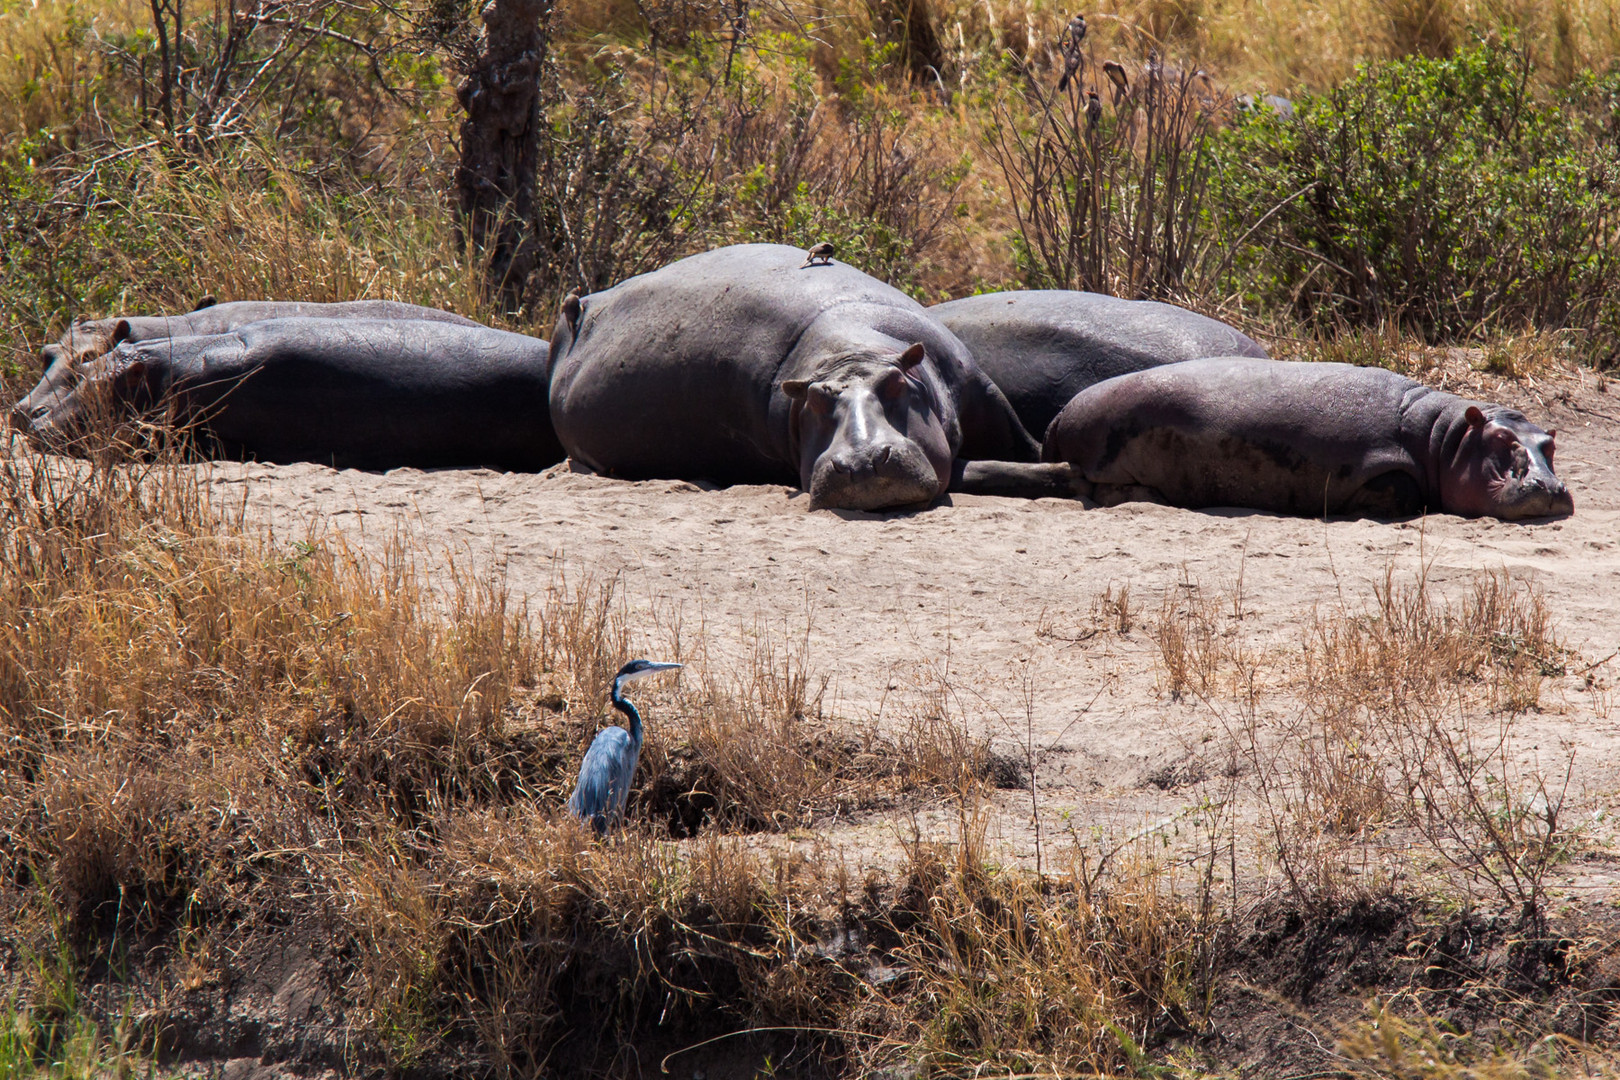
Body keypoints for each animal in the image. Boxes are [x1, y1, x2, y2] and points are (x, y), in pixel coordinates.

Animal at [550, 244, 1043, 511]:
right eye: (816, 400)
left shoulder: (981, 390)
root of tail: (580, 307)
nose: (861, 462)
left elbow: (1022, 441)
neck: (849, 354)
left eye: (896, 383)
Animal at [1036, 359, 1568, 518]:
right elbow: (1402, 488)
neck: (1445, 437)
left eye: (1549, 443)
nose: (1551, 488)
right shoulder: (1381, 466)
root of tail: (1059, 414)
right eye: (1501, 440)